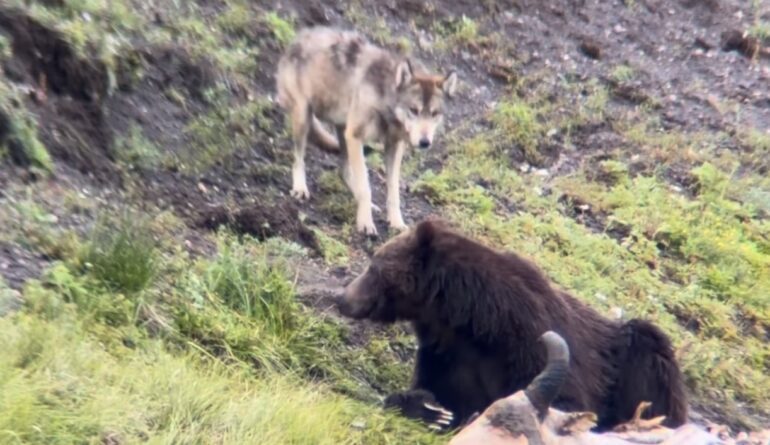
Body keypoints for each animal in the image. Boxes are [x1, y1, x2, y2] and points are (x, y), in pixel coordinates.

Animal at [275, 26, 458, 235]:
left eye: (434, 114)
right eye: (414, 110)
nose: (425, 142)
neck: (385, 101)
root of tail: (299, 36)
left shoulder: (394, 147)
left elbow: (393, 191)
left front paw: (397, 223)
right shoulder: (356, 137)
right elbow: (366, 187)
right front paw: (365, 223)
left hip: (342, 131)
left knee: (343, 170)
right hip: (305, 118)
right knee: (298, 158)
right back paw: (300, 188)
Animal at [336, 218, 688, 431]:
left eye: (373, 266)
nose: (342, 298)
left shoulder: (530, 337)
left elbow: (563, 398)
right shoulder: (446, 354)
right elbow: (434, 391)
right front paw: (432, 409)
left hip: (638, 358)